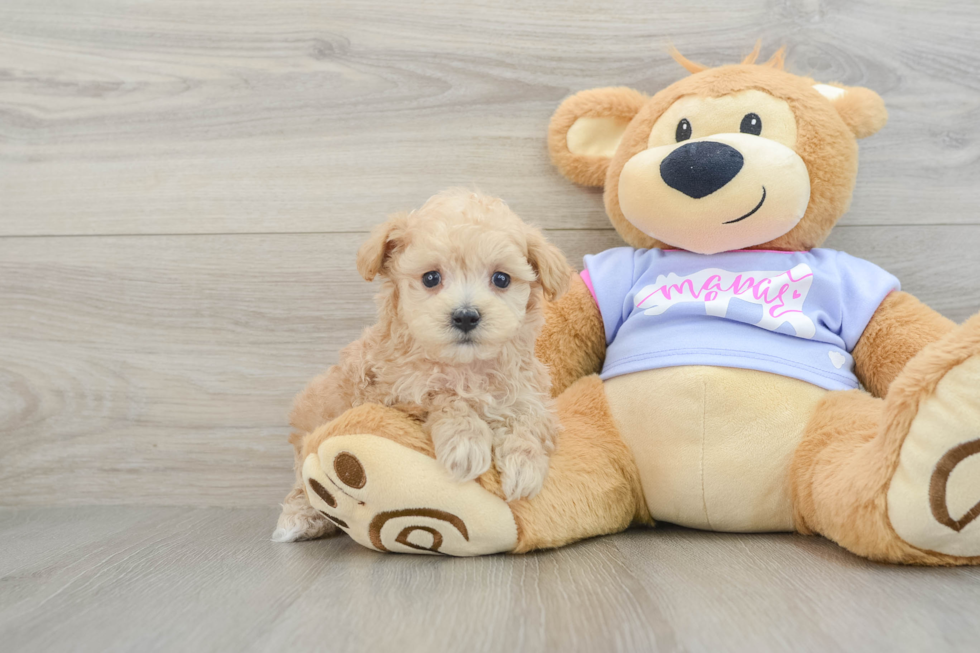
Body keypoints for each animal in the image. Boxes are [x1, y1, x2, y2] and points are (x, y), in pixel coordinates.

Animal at [272, 187, 572, 540]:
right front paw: (466, 442)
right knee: (301, 483)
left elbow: (530, 419)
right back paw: (300, 518)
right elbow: (442, 397)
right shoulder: (393, 395)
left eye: (501, 278)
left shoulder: (528, 392)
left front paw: (524, 464)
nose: (465, 316)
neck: (466, 368)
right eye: (431, 278)